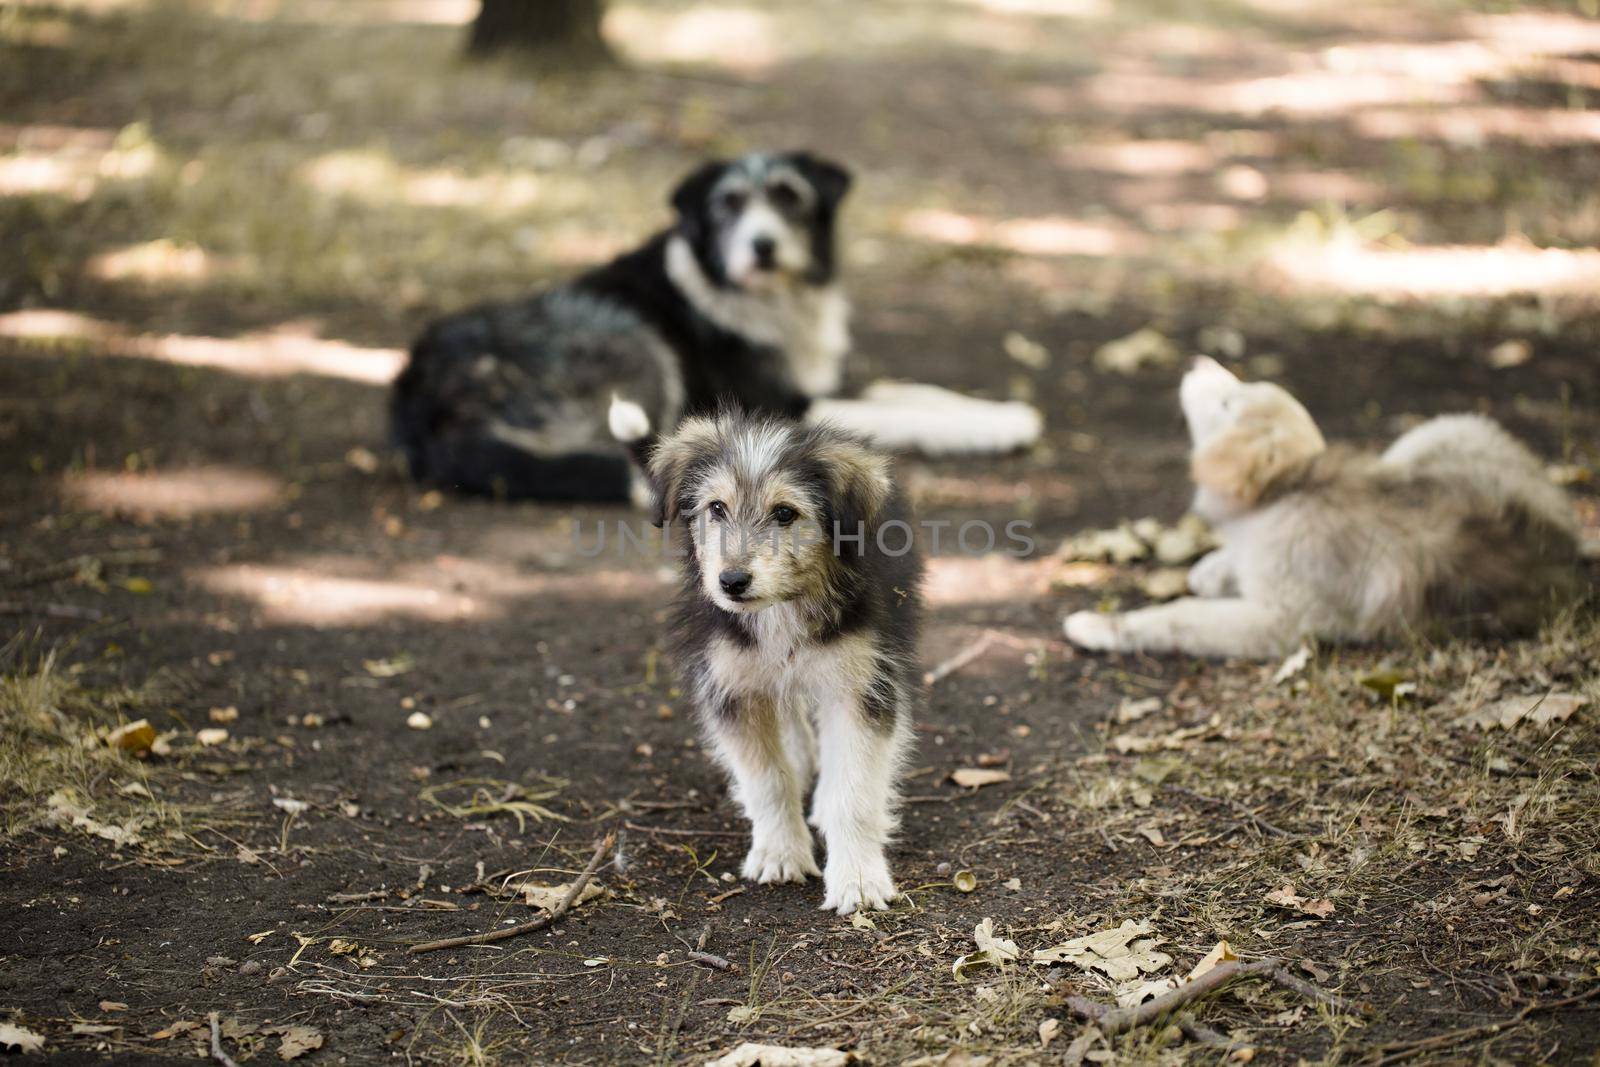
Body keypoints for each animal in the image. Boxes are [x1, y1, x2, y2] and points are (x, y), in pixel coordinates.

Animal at [390, 151, 1036, 505]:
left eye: (789, 196)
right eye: (728, 204)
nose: (762, 245)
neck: (767, 298)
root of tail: (419, 396)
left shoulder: (820, 378)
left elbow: (915, 390)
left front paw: (1004, 412)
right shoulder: (776, 404)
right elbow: (901, 414)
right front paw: (992, 429)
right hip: (632, 344)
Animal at [646, 412, 928, 915]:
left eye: (784, 513)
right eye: (716, 508)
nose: (732, 581)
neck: (782, 608)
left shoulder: (862, 686)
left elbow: (854, 790)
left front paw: (857, 878)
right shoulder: (733, 685)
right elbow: (767, 780)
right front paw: (780, 852)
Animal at [1062, 358, 1587, 659]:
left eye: (1229, 401)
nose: (1198, 360)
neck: (1283, 496)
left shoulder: (1283, 622)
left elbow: (1182, 617)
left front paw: (1103, 626)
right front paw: (1215, 568)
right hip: (1428, 438)